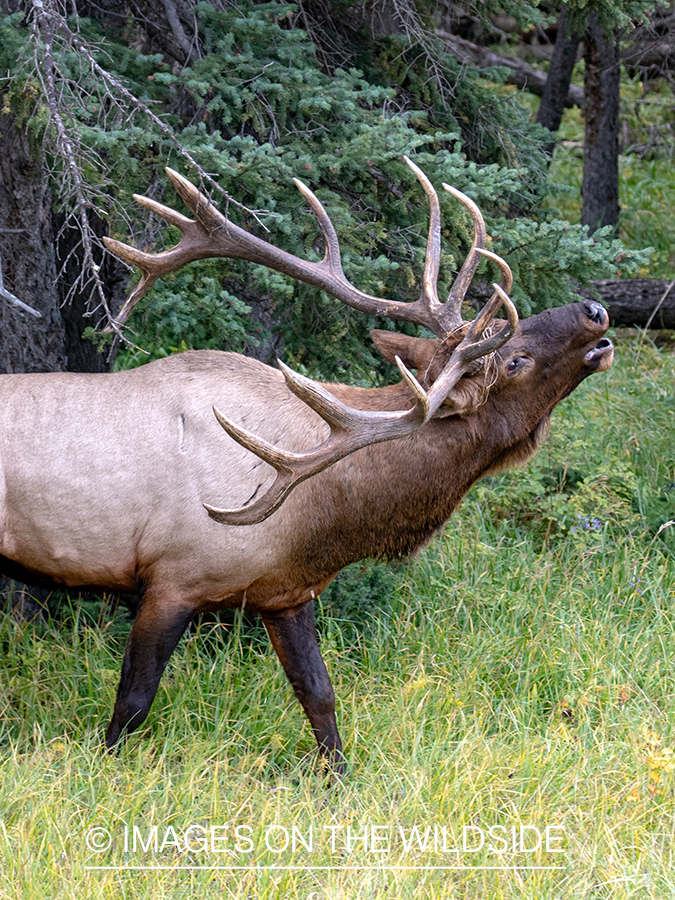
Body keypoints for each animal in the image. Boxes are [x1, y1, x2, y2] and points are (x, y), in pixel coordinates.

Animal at [0, 156, 612, 772]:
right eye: (515, 360)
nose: (594, 310)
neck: (323, 515)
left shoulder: (287, 592)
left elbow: (319, 695)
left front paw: (337, 780)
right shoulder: (174, 577)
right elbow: (132, 702)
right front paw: (106, 772)